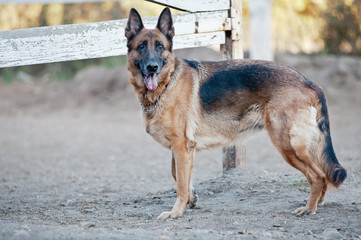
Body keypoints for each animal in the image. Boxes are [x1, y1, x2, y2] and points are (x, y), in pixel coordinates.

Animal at [124, 7, 346, 219]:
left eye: (160, 46)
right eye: (141, 46)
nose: (152, 67)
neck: (167, 83)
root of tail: (308, 81)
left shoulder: (181, 146)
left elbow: (179, 182)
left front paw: (176, 212)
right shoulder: (183, 148)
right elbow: (178, 175)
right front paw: (191, 199)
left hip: (287, 145)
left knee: (318, 176)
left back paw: (309, 208)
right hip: (302, 146)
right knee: (323, 175)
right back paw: (317, 204)